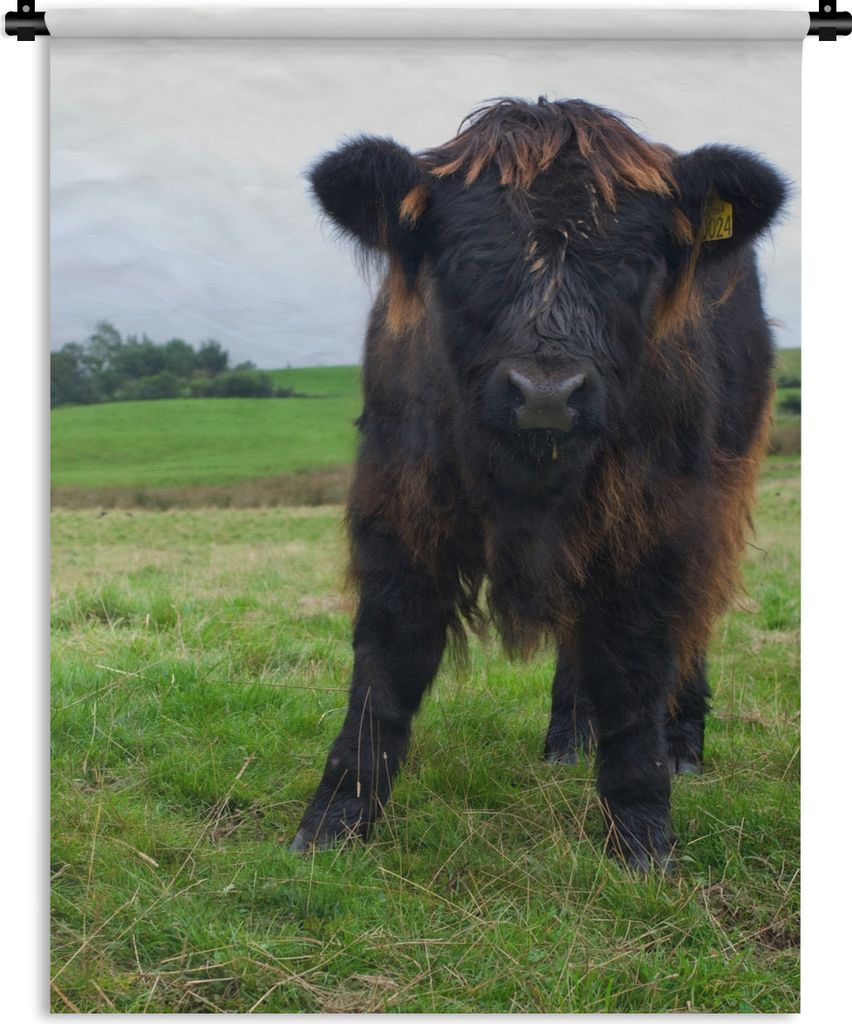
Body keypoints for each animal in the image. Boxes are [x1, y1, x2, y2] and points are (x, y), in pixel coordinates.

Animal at [289, 97, 787, 870]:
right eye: (467, 259)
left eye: (633, 262)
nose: (547, 394)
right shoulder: (399, 509)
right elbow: (385, 666)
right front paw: (335, 821)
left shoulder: (657, 521)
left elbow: (636, 667)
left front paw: (641, 835)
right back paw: (567, 737)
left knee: (693, 622)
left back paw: (682, 746)